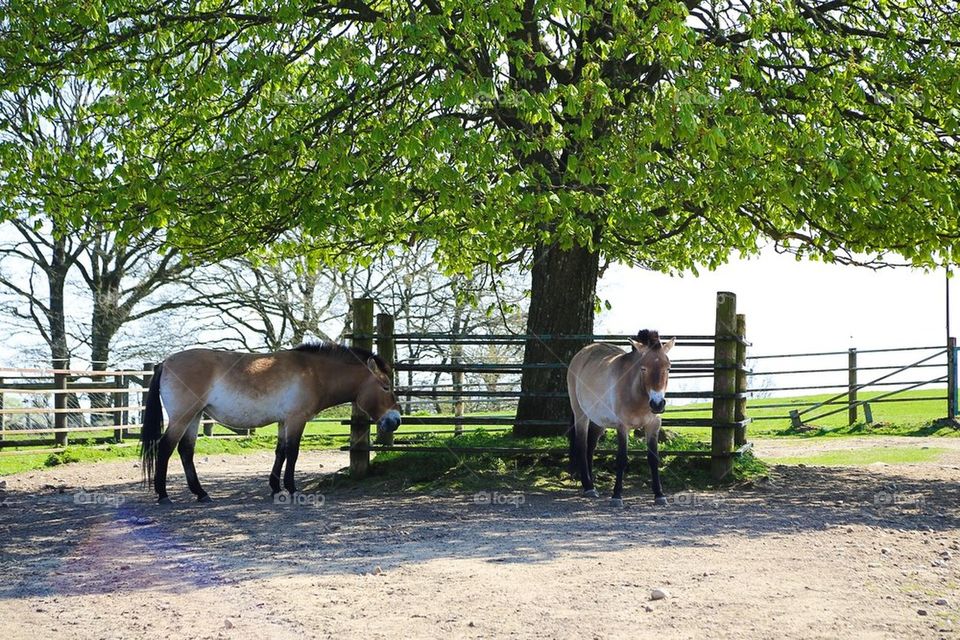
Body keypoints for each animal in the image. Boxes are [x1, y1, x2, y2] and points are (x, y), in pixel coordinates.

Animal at [140, 342, 402, 502]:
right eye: (386, 387)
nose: (396, 420)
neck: (314, 372)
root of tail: (165, 363)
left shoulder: (283, 422)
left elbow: (280, 452)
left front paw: (275, 487)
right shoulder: (296, 420)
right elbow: (293, 453)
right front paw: (292, 488)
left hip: (194, 417)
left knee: (186, 451)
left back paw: (201, 493)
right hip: (182, 417)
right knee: (165, 449)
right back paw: (163, 495)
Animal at [568, 330, 676, 504]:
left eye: (668, 368)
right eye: (643, 368)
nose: (657, 404)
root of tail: (582, 354)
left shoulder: (653, 426)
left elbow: (653, 458)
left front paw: (659, 495)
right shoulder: (622, 427)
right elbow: (622, 459)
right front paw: (616, 496)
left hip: (598, 421)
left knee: (590, 446)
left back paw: (592, 484)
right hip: (580, 414)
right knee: (582, 446)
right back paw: (588, 487)